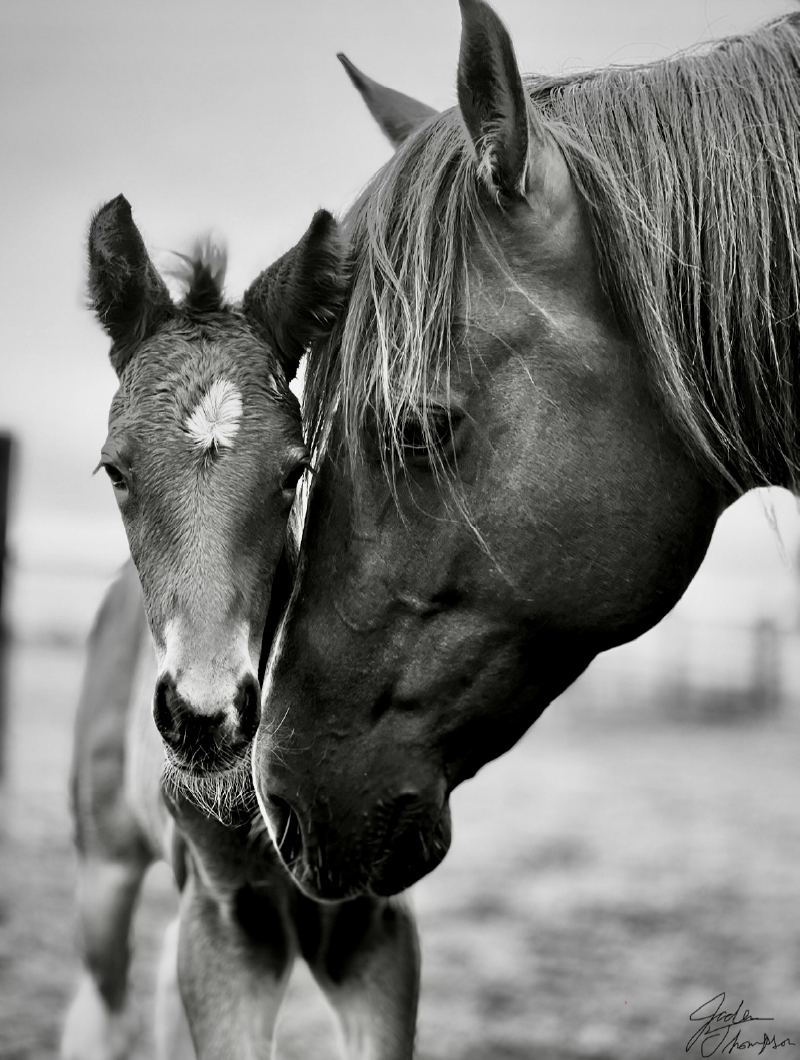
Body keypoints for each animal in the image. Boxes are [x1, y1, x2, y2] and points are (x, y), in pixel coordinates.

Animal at [61, 196, 419, 1060]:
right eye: (114, 470)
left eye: (296, 471)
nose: (206, 716)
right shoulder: (231, 925)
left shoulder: (374, 925)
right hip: (104, 868)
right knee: (103, 1004)